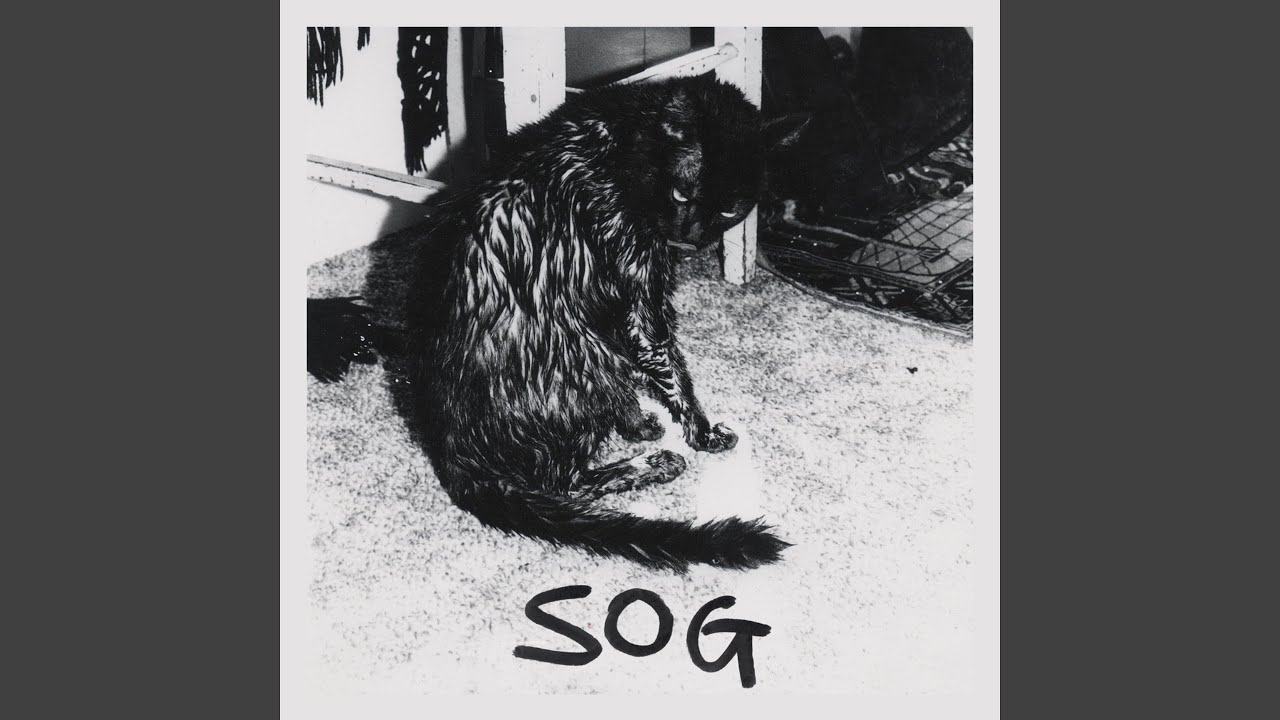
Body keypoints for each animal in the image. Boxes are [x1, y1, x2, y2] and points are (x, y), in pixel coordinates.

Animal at [405, 76, 800, 572]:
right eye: (682, 195)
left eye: (730, 210)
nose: (689, 242)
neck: (624, 144)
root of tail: (453, 452)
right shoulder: (640, 285)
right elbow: (669, 363)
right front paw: (703, 434)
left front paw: (641, 422)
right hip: (585, 352)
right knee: (564, 479)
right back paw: (656, 463)